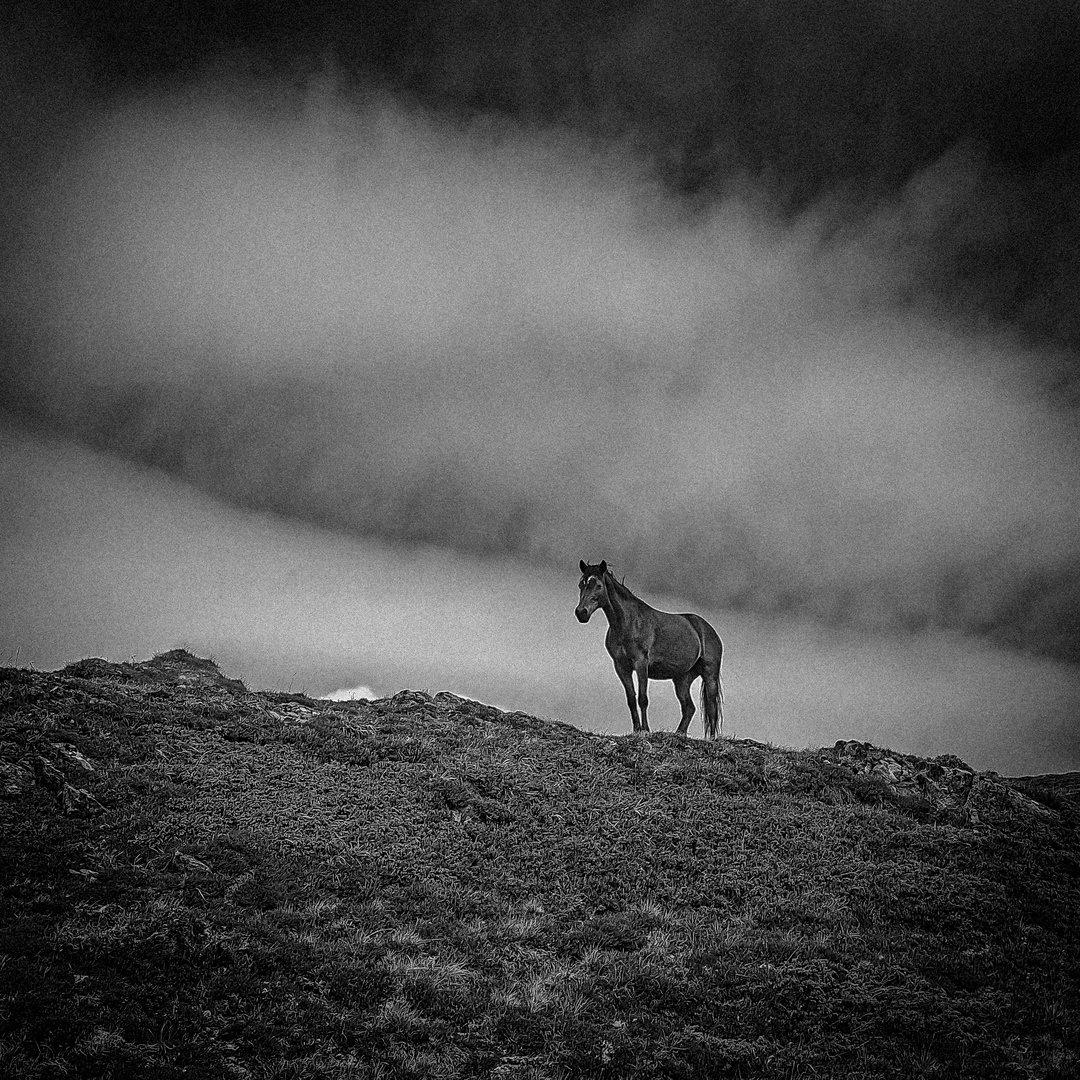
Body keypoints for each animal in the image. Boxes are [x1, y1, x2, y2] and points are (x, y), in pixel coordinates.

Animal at [574, 561, 725, 738]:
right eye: (581, 584)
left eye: (598, 585)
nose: (581, 613)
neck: (628, 623)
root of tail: (707, 628)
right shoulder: (621, 667)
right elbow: (631, 699)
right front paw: (636, 729)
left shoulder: (641, 663)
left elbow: (642, 698)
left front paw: (645, 729)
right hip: (682, 679)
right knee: (689, 708)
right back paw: (679, 734)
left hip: (710, 674)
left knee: (712, 708)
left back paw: (712, 739)